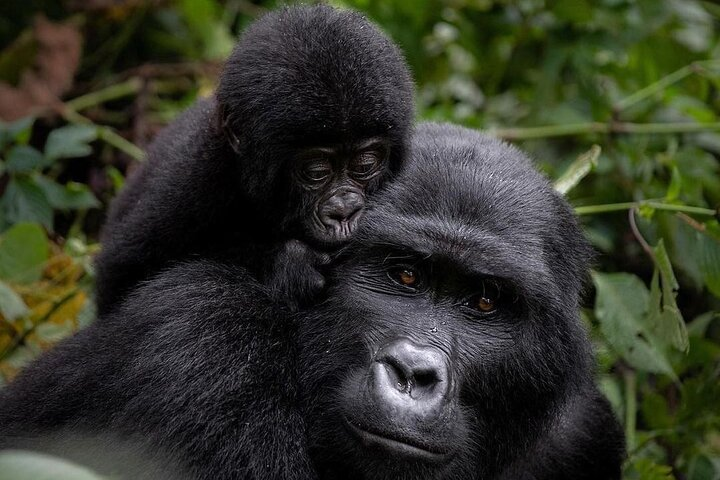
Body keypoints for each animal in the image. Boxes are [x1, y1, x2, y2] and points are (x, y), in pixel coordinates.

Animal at [93, 4, 414, 316]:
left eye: (364, 165)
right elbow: (120, 279)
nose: (344, 212)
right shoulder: (193, 181)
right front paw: (287, 262)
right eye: (315, 172)